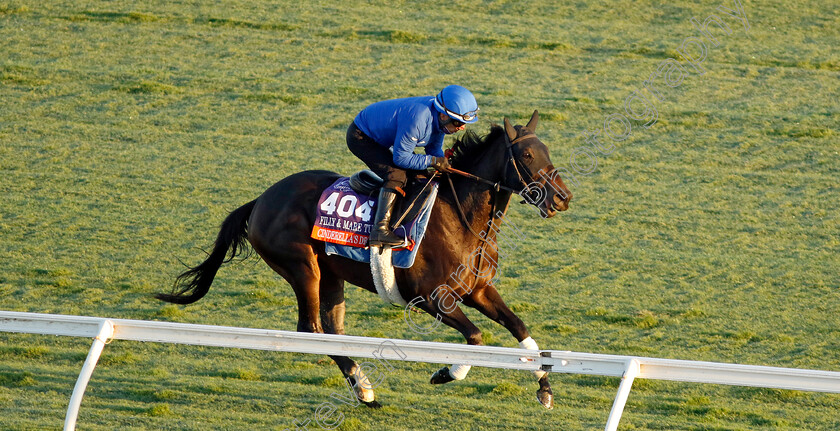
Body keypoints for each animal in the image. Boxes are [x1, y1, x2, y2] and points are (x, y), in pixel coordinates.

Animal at [155, 110, 576, 408]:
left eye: (547, 151)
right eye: (526, 154)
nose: (562, 197)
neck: (462, 219)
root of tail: (261, 200)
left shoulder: (479, 290)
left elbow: (521, 329)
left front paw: (545, 388)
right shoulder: (432, 297)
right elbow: (474, 337)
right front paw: (445, 372)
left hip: (331, 274)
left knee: (332, 328)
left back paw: (361, 384)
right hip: (302, 268)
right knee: (310, 328)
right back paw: (364, 389)